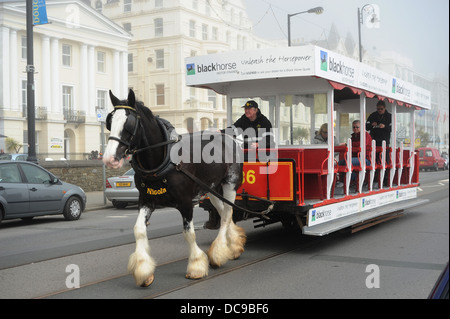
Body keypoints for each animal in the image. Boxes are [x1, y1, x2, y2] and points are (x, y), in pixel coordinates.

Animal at [103, 90, 246, 288]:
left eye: (129, 123)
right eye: (110, 121)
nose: (109, 159)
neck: (163, 161)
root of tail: (227, 136)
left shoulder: (186, 203)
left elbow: (189, 233)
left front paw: (196, 266)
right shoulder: (146, 201)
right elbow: (139, 229)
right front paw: (143, 270)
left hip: (230, 184)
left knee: (226, 214)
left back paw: (218, 253)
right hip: (211, 189)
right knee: (224, 211)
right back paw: (233, 245)